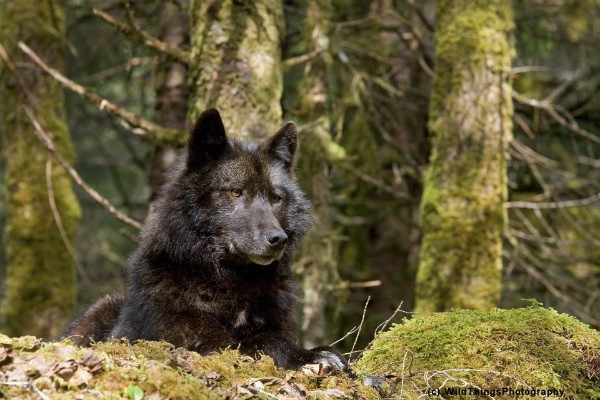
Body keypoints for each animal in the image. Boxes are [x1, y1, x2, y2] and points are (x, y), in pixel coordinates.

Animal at [63, 108, 346, 370]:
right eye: (235, 192)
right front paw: (310, 356)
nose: (278, 238)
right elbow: (265, 341)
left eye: (276, 198)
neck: (233, 282)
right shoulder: (207, 345)